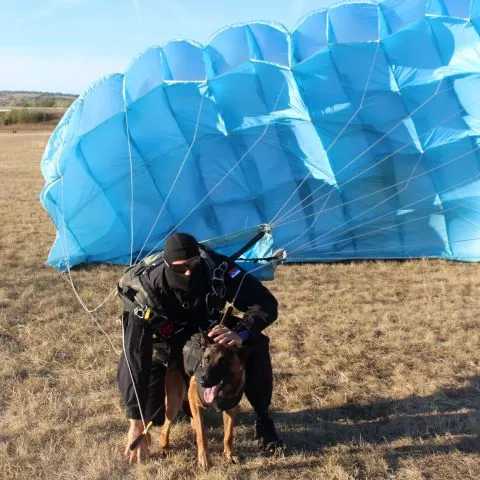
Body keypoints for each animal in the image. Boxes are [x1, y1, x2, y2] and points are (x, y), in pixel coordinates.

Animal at [159, 332, 248, 466]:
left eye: (223, 362)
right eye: (206, 359)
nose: (203, 381)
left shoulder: (230, 409)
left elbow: (229, 435)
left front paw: (229, 455)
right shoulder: (194, 401)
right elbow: (202, 433)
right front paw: (204, 458)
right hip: (174, 403)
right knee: (165, 428)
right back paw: (165, 448)